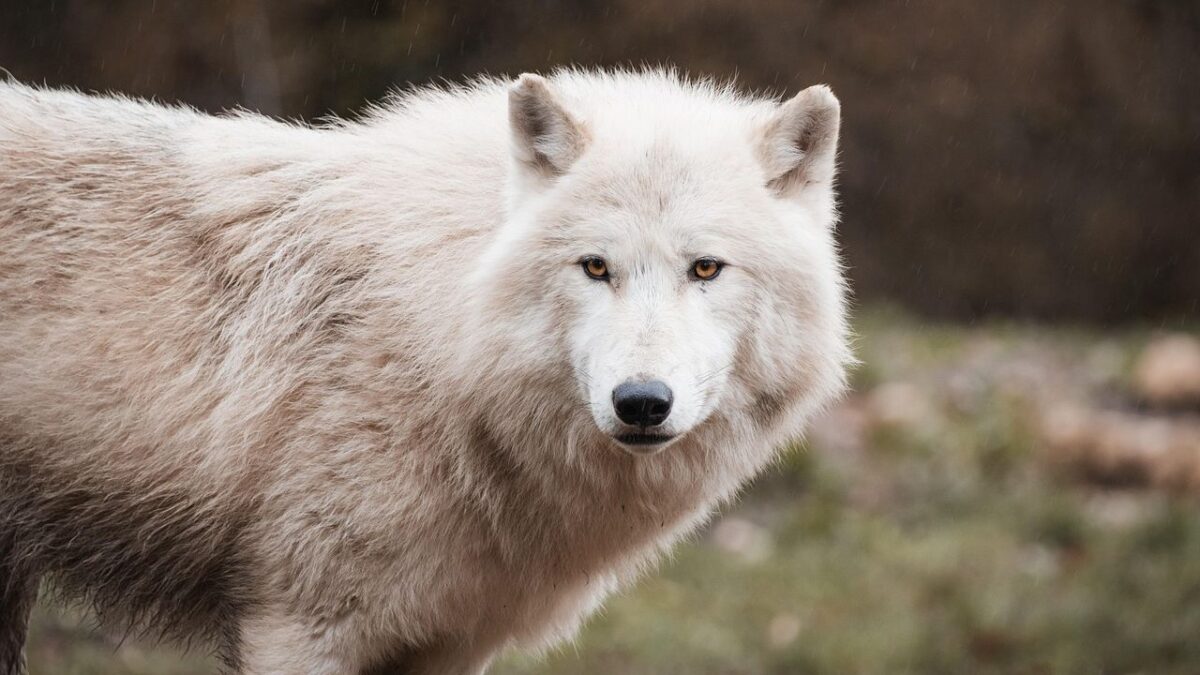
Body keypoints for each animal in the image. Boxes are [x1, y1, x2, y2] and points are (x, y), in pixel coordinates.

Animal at [0, 68, 851, 673]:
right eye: (595, 266)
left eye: (705, 267)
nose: (640, 402)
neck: (442, 341)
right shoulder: (294, 627)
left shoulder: (447, 644)